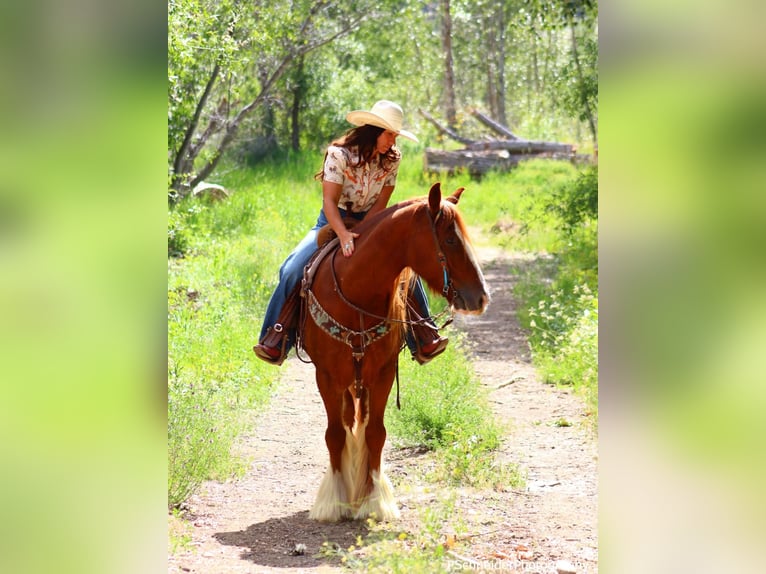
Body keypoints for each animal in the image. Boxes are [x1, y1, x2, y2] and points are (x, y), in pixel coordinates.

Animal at [299, 182, 489, 522]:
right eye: (450, 239)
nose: (480, 297)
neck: (355, 289)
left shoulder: (383, 374)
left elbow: (376, 433)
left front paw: (374, 501)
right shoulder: (327, 377)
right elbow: (334, 434)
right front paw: (334, 502)